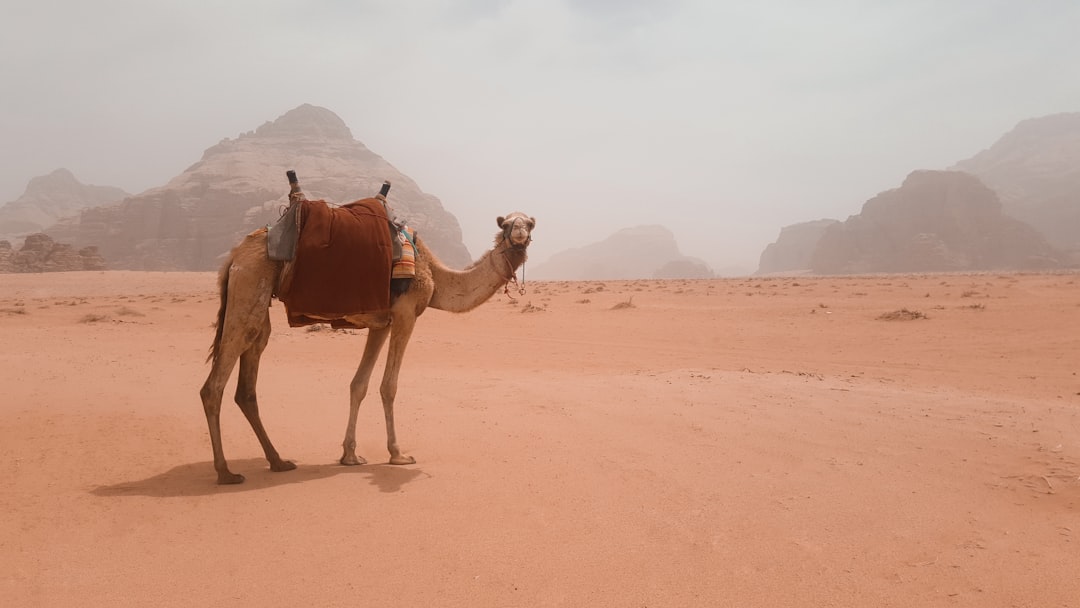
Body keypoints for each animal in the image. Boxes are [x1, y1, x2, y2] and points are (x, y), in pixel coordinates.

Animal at [199, 211, 535, 484]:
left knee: (249, 375)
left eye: (530, 222)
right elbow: (389, 386)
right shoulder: (405, 312)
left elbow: (358, 384)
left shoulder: (380, 323)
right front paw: (398, 454)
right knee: (214, 384)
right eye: (506, 224)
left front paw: (349, 455)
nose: (519, 233)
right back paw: (226, 472)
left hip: (257, 298)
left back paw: (278, 461)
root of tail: (236, 256)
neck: (435, 276)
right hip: (250, 282)